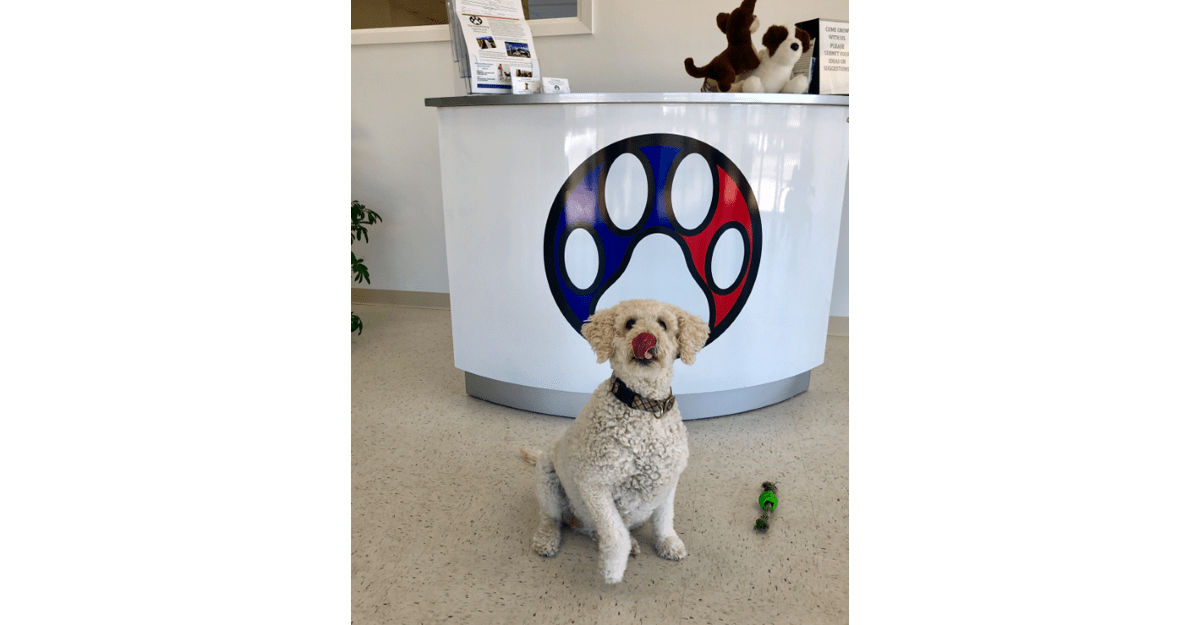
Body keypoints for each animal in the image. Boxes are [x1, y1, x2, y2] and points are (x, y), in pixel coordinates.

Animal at [520, 299, 709, 584]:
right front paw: (612, 568)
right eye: (630, 323)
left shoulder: (669, 480)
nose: (645, 338)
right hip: (547, 475)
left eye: (663, 324)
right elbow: (614, 531)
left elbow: (665, 518)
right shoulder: (594, 484)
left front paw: (668, 542)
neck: (644, 407)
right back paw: (547, 538)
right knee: (550, 517)